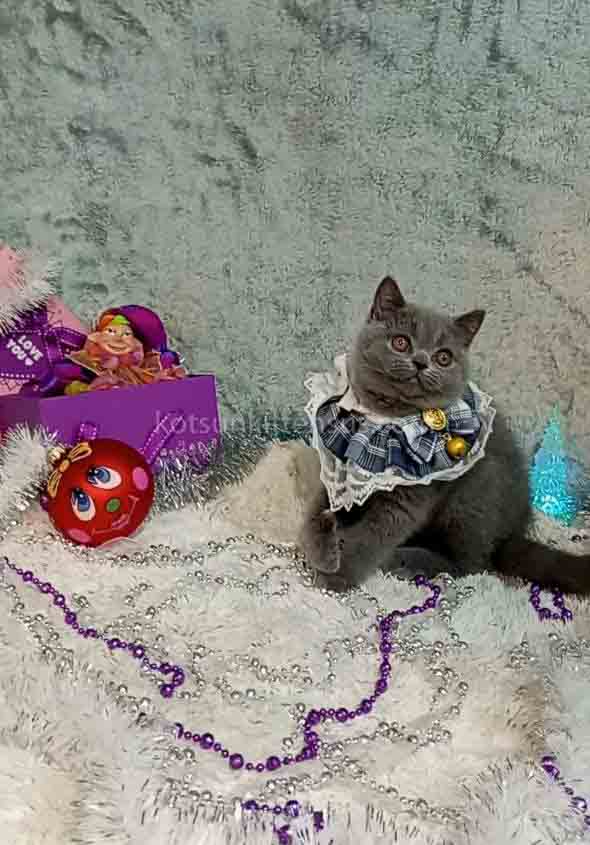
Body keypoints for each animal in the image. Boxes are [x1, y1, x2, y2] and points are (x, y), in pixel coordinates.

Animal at [300, 276, 590, 594]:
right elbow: (315, 512)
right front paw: (322, 550)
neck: (384, 420)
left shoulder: (410, 497)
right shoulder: (337, 470)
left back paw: (404, 559)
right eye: (400, 342)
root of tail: (514, 532)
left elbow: (372, 536)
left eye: (443, 357)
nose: (421, 361)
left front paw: (337, 575)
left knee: (471, 565)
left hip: (475, 490)